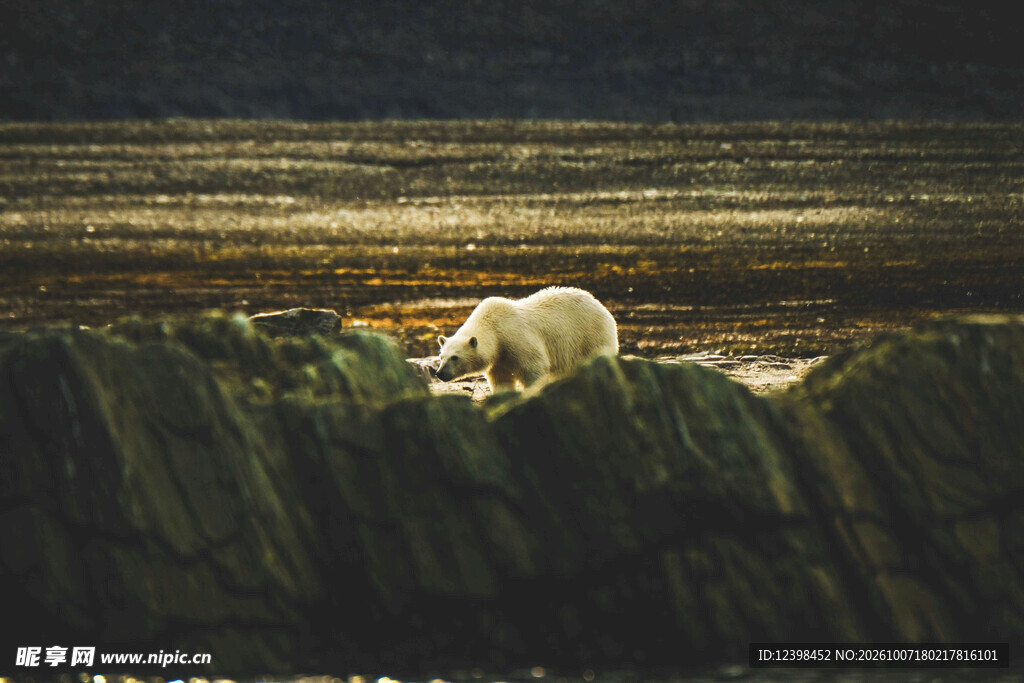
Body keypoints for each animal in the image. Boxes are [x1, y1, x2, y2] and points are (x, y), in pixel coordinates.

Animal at [435, 286, 618, 392]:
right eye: (441, 357)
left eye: (455, 357)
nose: (440, 373)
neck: (495, 331)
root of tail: (598, 303)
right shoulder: (499, 360)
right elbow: (501, 380)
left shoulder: (518, 340)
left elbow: (533, 369)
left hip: (591, 335)